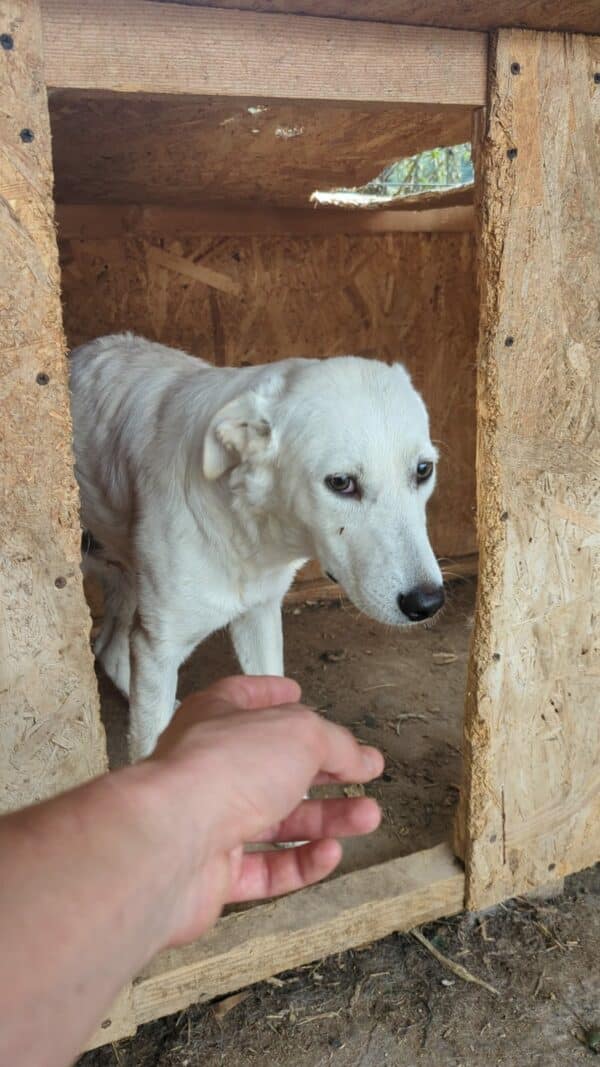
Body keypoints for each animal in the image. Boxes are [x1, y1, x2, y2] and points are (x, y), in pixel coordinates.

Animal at [69, 332, 444, 759]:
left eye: (423, 470)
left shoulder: (261, 614)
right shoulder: (157, 648)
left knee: (108, 648)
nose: (427, 603)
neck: (248, 535)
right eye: (340, 482)